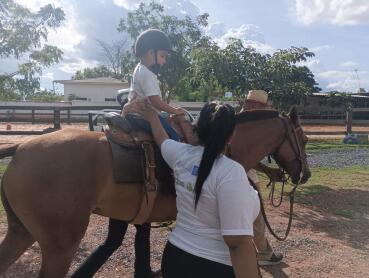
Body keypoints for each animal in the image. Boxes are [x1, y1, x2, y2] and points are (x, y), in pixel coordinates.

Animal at [0, 107, 310, 276]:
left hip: (21, 232)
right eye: (304, 138)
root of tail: (21, 148)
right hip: (60, 246)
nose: (304, 174)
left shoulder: (140, 219)